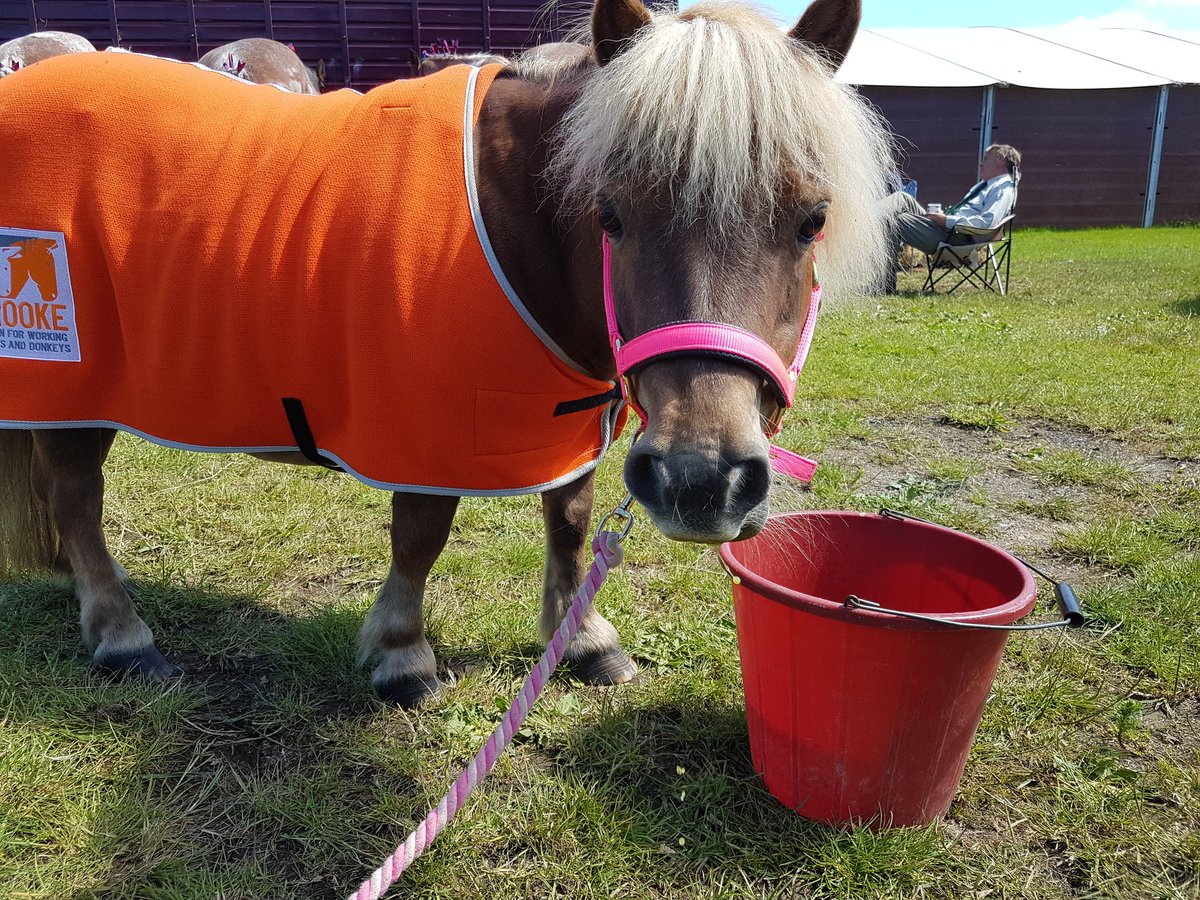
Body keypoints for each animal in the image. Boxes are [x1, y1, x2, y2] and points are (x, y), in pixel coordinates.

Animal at [0, 0, 890, 707]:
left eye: (811, 219)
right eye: (610, 214)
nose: (704, 484)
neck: (511, 224)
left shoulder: (568, 416)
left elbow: (570, 522)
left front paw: (583, 640)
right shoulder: (421, 427)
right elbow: (421, 532)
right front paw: (403, 656)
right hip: (68, 380)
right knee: (76, 498)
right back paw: (122, 635)